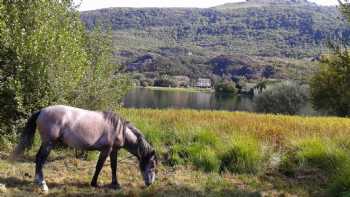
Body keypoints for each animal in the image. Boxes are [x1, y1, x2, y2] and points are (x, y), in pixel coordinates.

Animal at [11, 104, 157, 192]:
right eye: (152, 165)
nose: (150, 183)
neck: (119, 129)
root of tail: (42, 111)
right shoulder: (106, 150)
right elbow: (99, 166)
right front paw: (94, 183)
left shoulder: (114, 150)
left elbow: (114, 167)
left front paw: (115, 184)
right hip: (48, 143)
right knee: (40, 160)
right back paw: (43, 185)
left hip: (46, 143)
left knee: (38, 159)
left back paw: (38, 182)